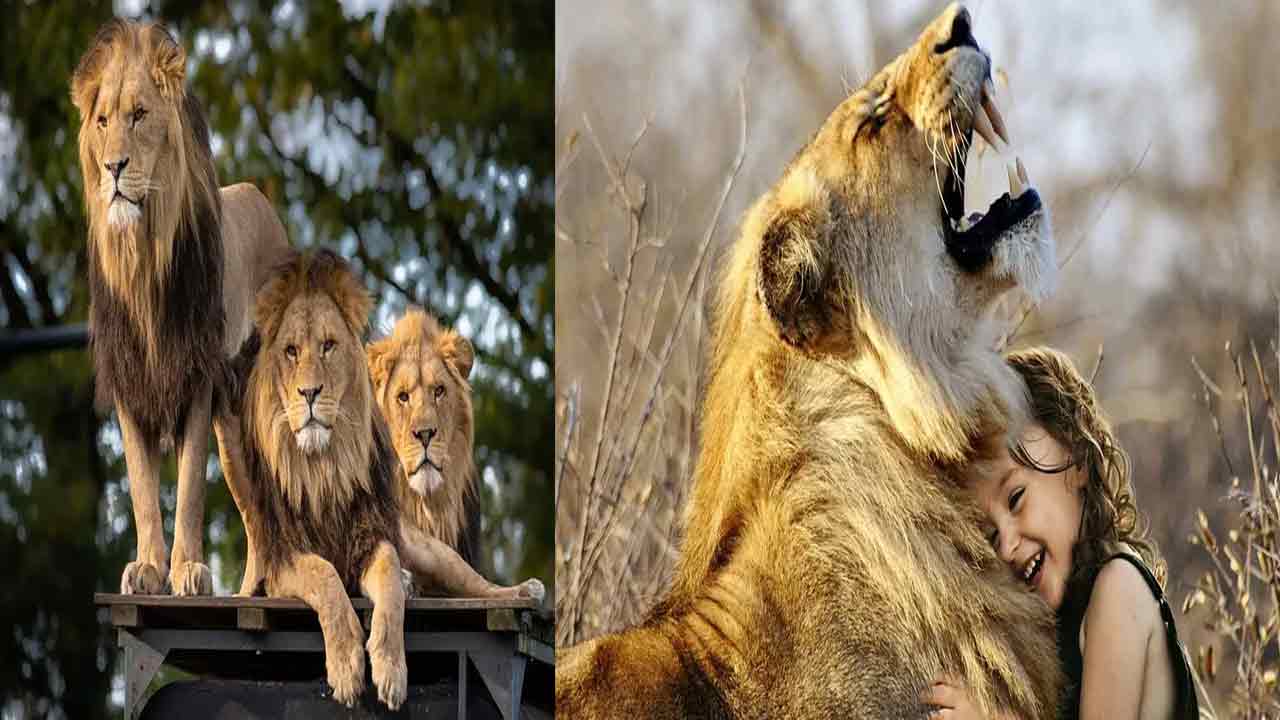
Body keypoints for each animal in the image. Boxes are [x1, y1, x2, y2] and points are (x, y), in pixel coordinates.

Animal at [72, 19, 290, 596]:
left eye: (140, 115)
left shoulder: (199, 376)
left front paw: (188, 570)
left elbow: (189, 485)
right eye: (103, 121)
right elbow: (142, 489)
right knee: (254, 514)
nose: (114, 167)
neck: (143, 258)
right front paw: (147, 568)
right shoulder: (130, 381)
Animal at [237, 249, 406, 709]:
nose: (309, 393)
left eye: (329, 346)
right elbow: (326, 578)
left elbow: (390, 582)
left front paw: (391, 669)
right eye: (291, 351)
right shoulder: (281, 557)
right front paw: (347, 667)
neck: (323, 470)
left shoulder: (370, 538)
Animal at [366, 308, 545, 601]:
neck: (425, 505)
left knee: (481, 585)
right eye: (402, 397)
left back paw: (527, 589)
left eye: (439, 391)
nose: (425, 434)